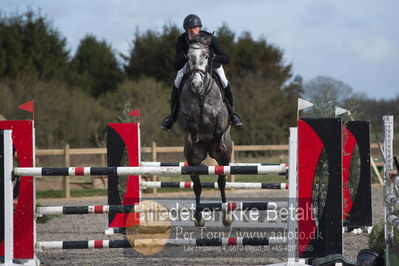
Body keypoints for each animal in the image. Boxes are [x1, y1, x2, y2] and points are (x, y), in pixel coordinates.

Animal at [177, 33, 233, 228]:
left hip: (224, 160)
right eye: (188, 57)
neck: (201, 94)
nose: (196, 84)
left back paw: (226, 217)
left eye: (207, 56)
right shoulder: (184, 118)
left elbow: (218, 130)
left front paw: (218, 142)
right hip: (193, 159)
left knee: (222, 181)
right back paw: (199, 218)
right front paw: (195, 136)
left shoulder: (222, 116)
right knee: (197, 185)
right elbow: (192, 126)